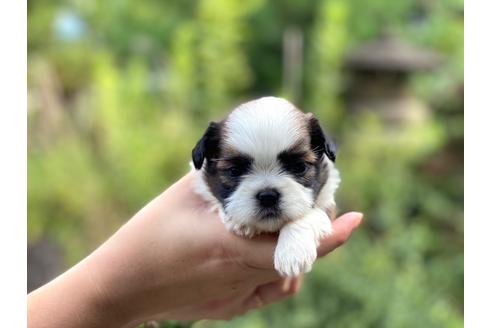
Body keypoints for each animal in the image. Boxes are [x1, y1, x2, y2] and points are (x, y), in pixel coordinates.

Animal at [190, 96, 340, 276]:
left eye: (299, 167)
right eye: (234, 171)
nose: (268, 196)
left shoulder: (328, 203)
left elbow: (309, 215)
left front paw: (292, 252)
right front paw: (241, 222)